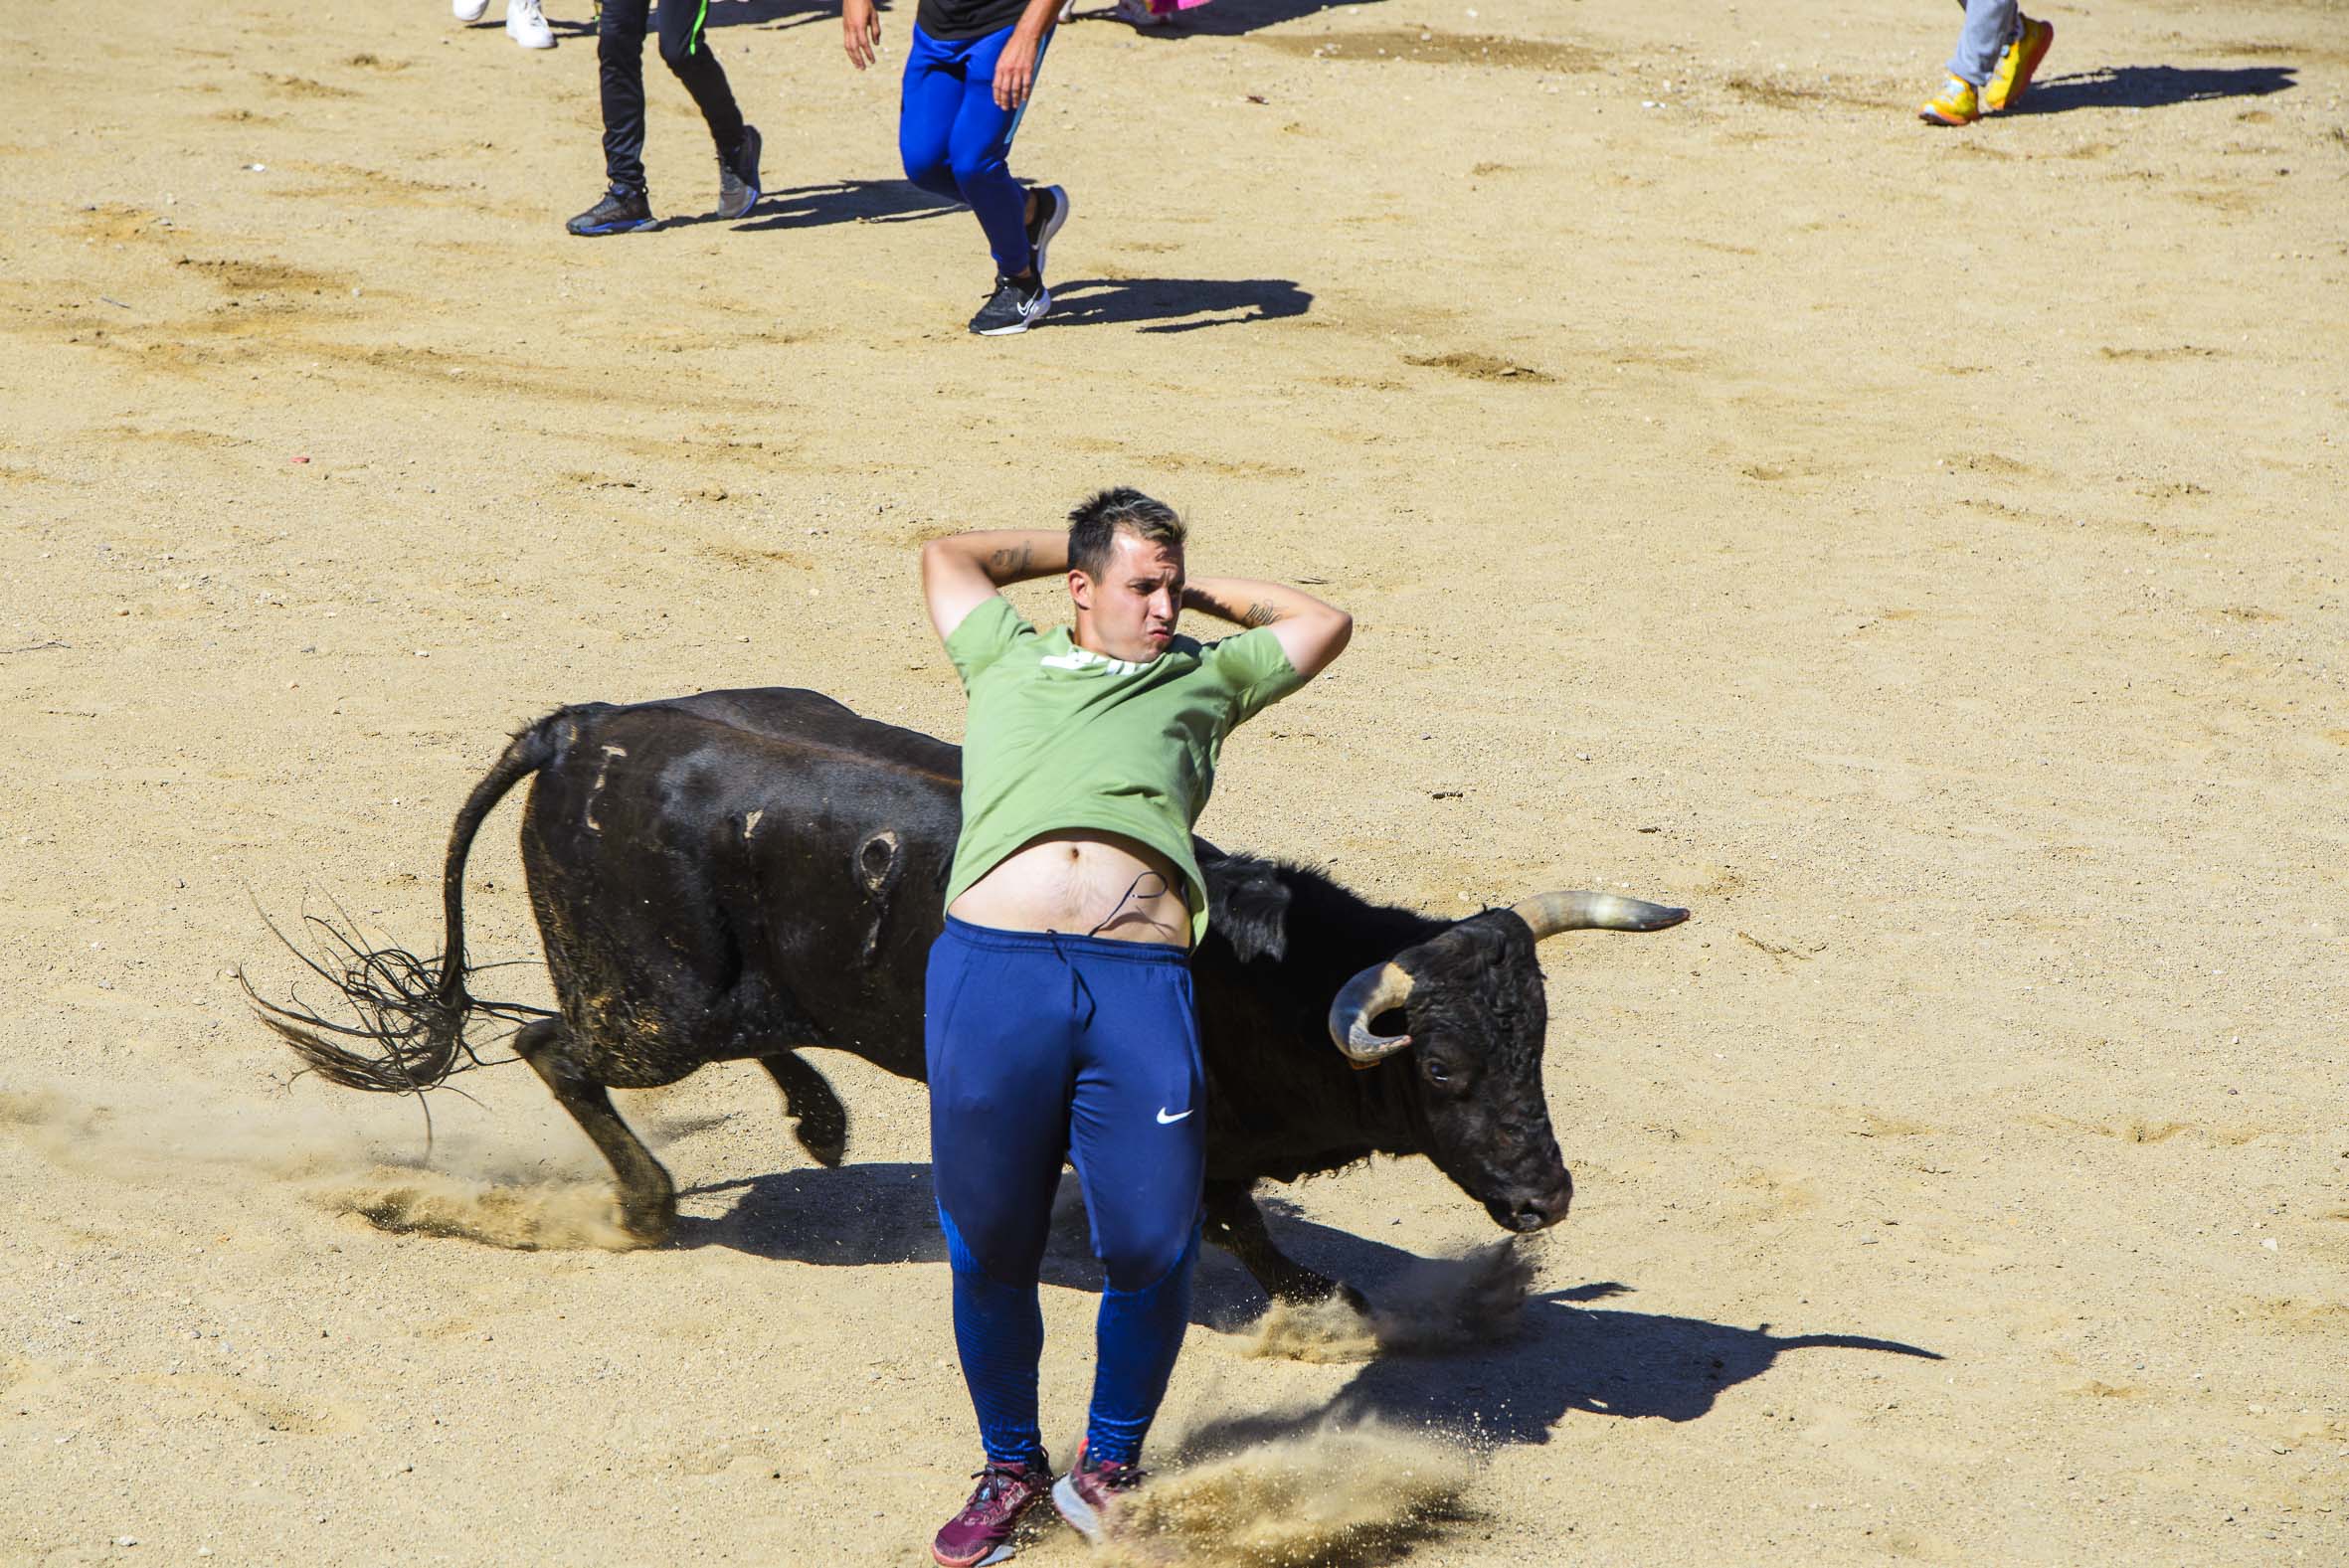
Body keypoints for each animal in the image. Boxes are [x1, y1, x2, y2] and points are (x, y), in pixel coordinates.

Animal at [262, 690, 1691, 1305]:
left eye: (1538, 1045)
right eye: (1441, 1067)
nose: (1545, 1198)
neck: (1261, 975)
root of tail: (575, 725)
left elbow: (1249, 1227)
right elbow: (1235, 1228)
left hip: (721, 996)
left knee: (748, 1036)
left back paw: (819, 1118)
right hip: (655, 1009)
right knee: (552, 1045)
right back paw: (653, 1206)